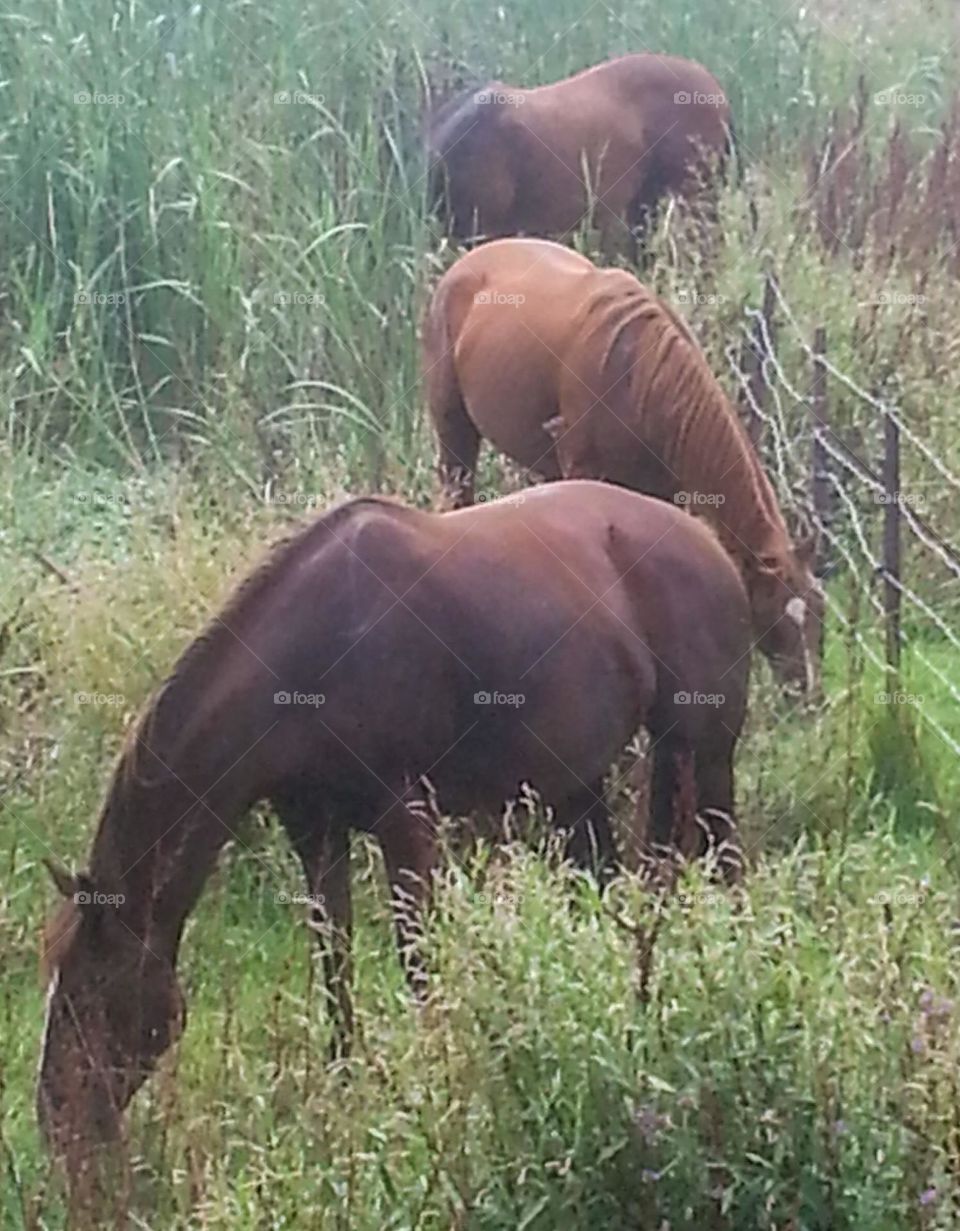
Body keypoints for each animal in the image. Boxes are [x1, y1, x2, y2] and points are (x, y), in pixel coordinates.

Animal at [38, 481, 751, 1166]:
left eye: (93, 991)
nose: (57, 1121)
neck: (310, 657)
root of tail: (708, 540)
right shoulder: (315, 829)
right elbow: (335, 959)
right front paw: (345, 1086)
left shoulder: (404, 821)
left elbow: (417, 958)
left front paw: (436, 1083)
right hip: (580, 789)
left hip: (705, 755)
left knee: (730, 870)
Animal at [423, 238, 824, 694]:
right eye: (777, 619)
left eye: (819, 612)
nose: (810, 696)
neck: (638, 373)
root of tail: (467, 263)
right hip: (453, 427)